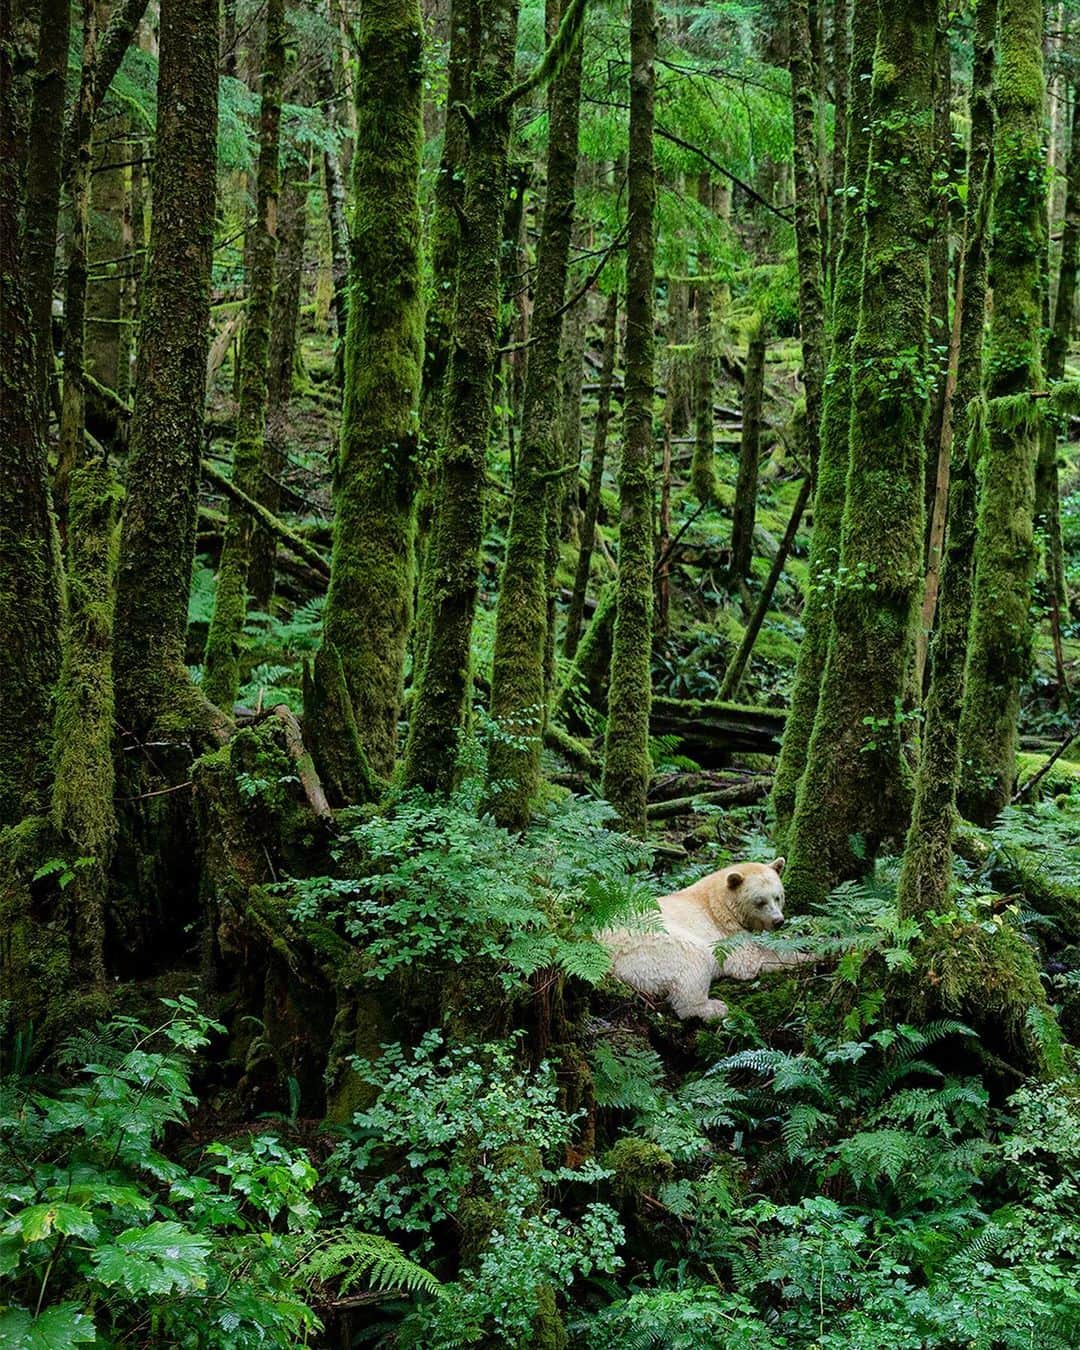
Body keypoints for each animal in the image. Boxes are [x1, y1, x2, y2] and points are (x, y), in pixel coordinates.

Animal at [600, 858, 808, 1021]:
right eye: (760, 901)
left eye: (778, 897)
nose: (778, 921)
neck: (720, 900)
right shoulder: (726, 932)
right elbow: (751, 961)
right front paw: (808, 956)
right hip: (652, 946)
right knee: (694, 961)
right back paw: (713, 1007)